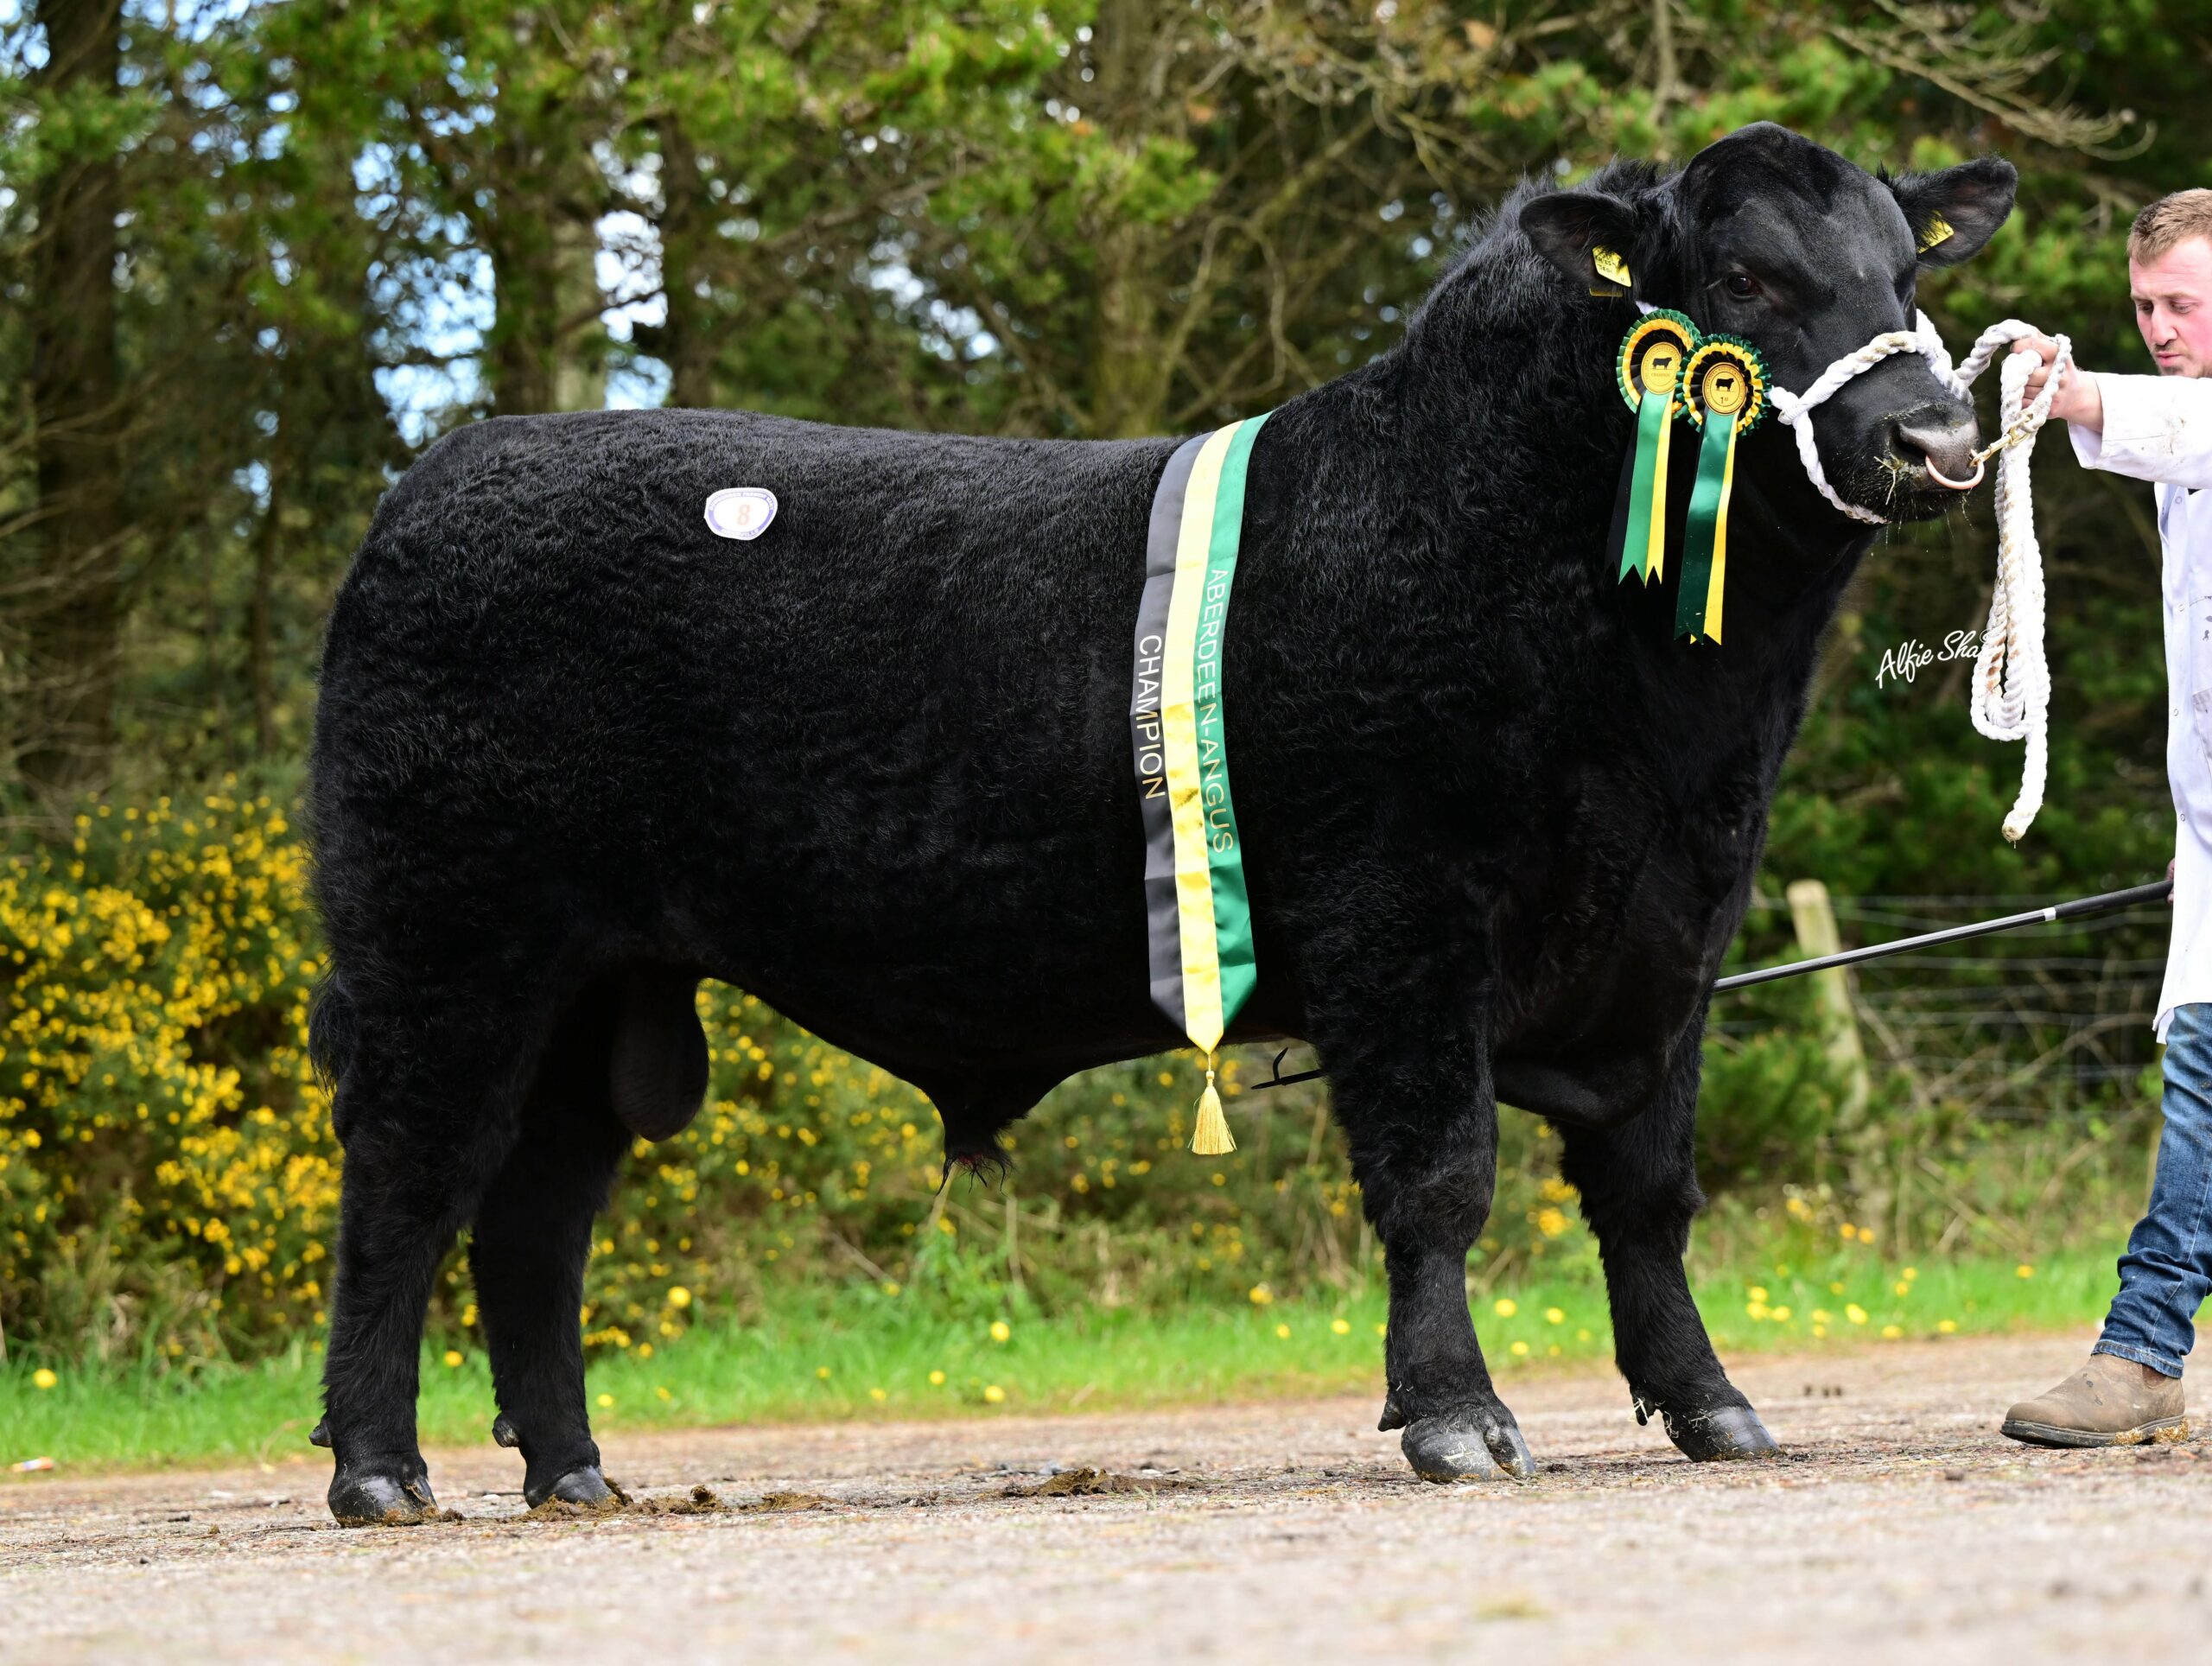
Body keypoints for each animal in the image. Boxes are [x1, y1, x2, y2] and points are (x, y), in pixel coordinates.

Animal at [307, 119, 2025, 1522]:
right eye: (1742, 273)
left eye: (1906, 270)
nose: (1940, 439)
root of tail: (449, 469)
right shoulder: (1402, 922)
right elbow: (1441, 1175)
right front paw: (1460, 1418)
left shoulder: (1671, 939)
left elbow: (1651, 1196)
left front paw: (1713, 1402)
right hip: (443, 949)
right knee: (405, 1187)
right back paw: (382, 1473)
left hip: (600, 994)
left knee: (531, 1222)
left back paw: (573, 1471)